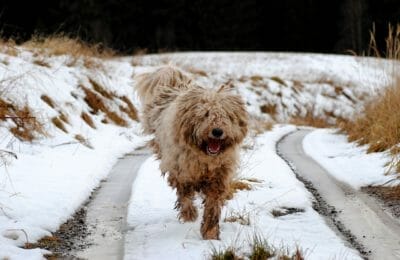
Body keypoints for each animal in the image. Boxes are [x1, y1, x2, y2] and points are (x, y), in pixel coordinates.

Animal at [137, 65, 247, 240]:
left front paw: (210, 232)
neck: (204, 157)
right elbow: (185, 194)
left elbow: (213, 204)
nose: (217, 131)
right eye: (205, 114)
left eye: (226, 115)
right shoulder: (181, 171)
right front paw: (189, 214)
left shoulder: (219, 176)